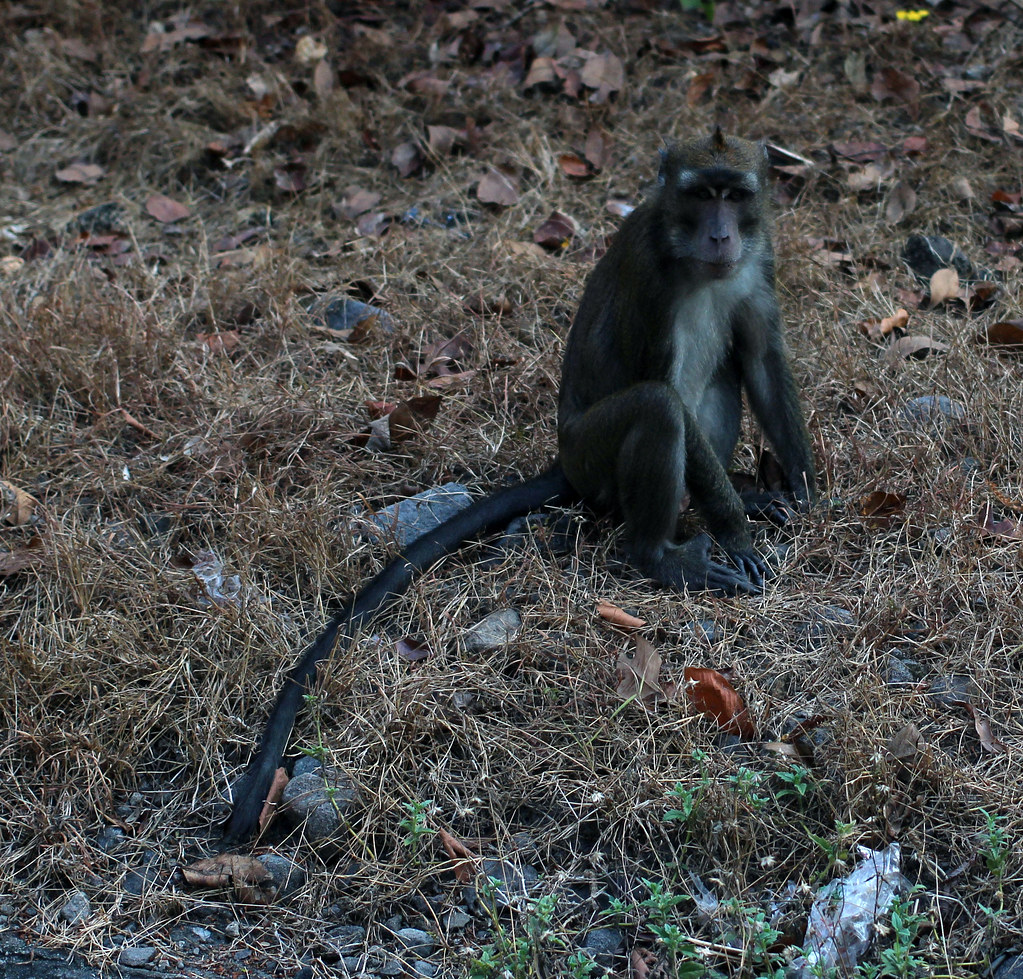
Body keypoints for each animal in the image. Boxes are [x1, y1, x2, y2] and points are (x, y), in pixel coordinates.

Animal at [224, 128, 815, 840]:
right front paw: (734, 531)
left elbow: (760, 357)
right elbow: (664, 387)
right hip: (592, 459)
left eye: (735, 194)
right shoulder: (650, 276)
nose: (722, 235)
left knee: (724, 369)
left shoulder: (761, 257)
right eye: (702, 195)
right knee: (657, 409)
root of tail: (564, 460)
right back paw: (661, 557)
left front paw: (796, 484)